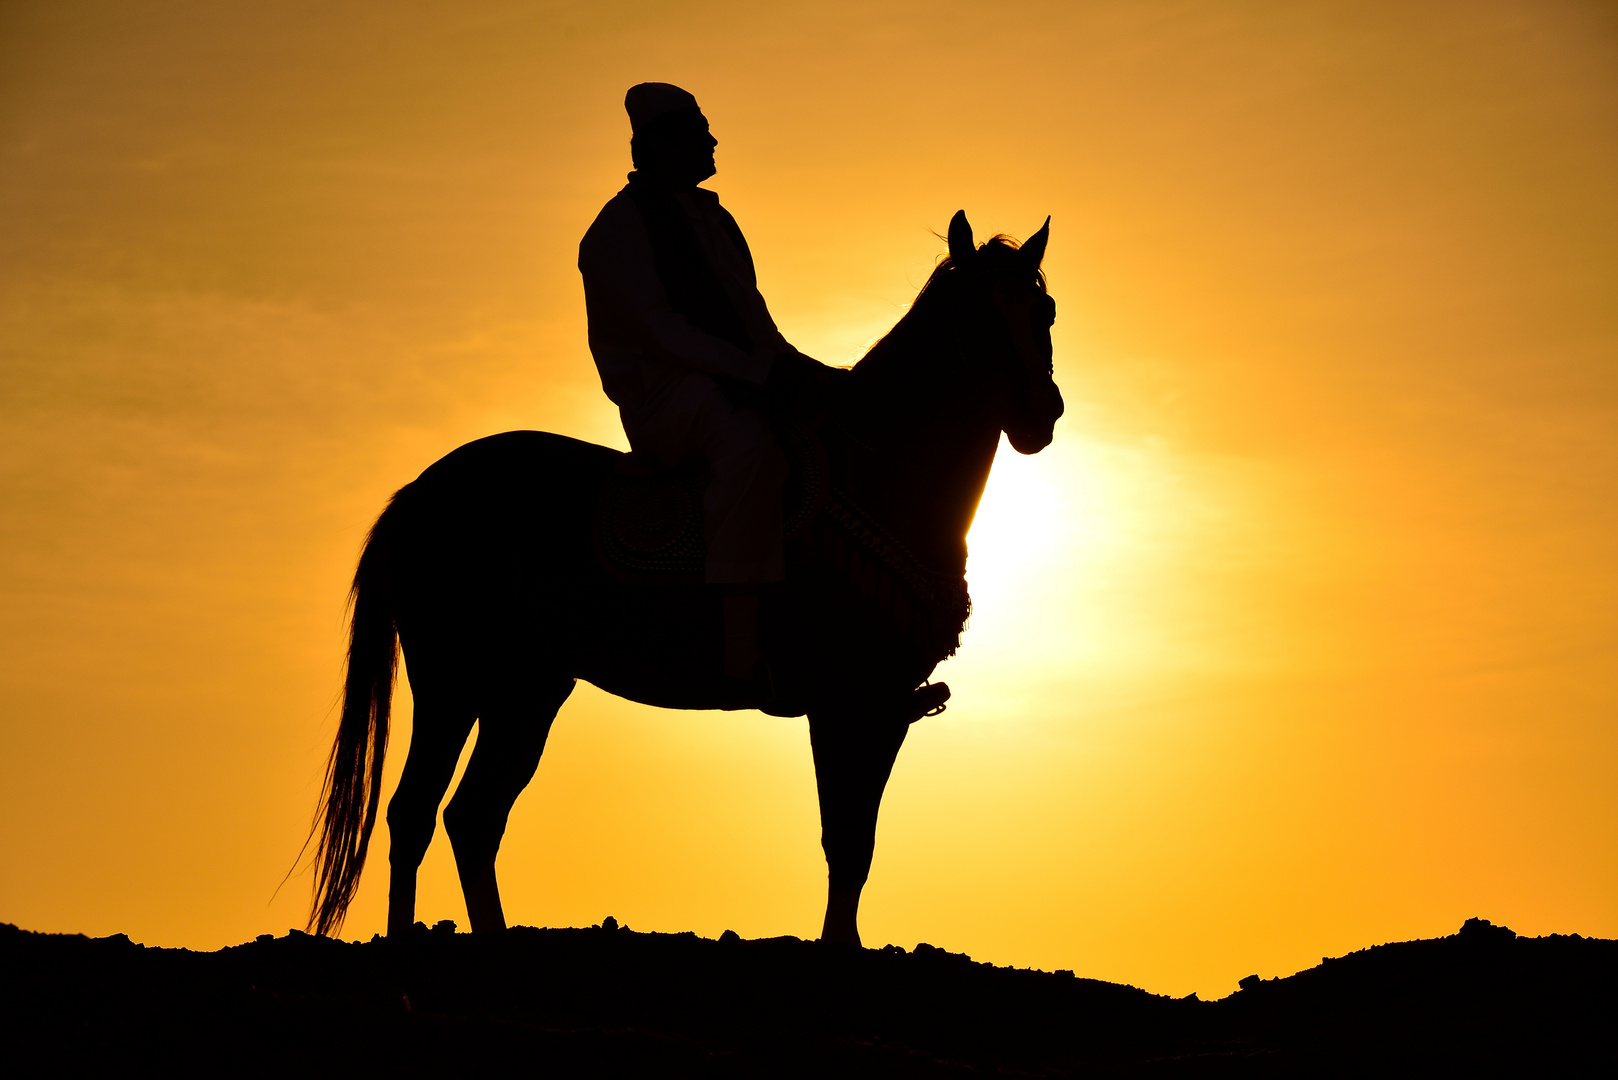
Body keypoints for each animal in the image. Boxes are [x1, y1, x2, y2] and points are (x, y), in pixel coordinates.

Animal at [305, 210, 1061, 945]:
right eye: (980, 316)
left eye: (1044, 311)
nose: (1041, 415)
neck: (879, 476)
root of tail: (418, 493)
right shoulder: (845, 702)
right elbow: (844, 843)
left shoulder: (883, 705)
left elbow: (858, 848)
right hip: (452, 679)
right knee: (414, 812)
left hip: (527, 689)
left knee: (473, 817)